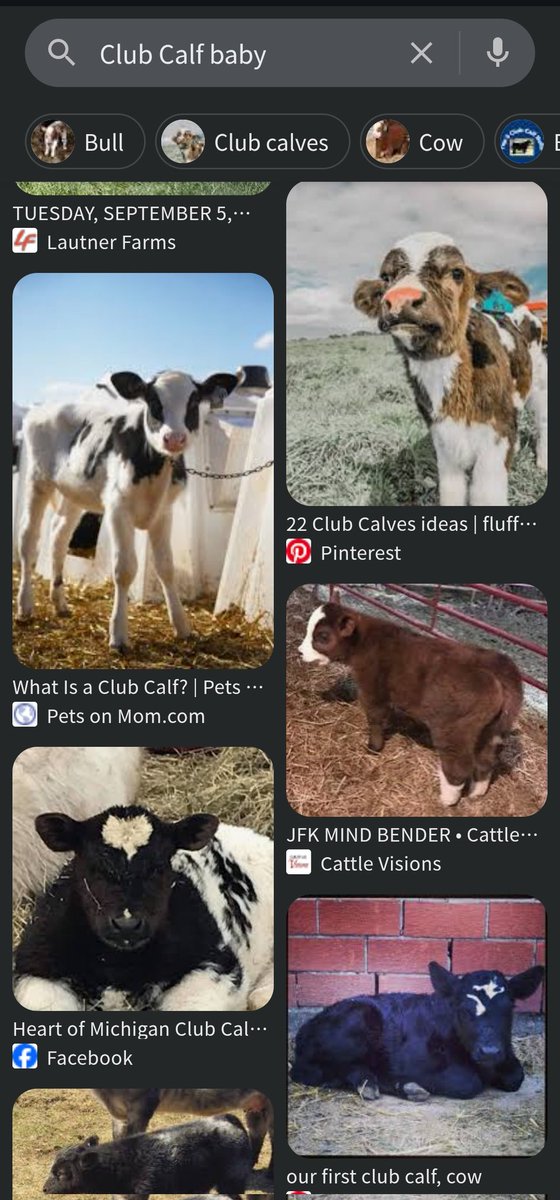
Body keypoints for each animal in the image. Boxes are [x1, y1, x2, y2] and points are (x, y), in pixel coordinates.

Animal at [14, 804, 273, 1012]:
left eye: (159, 867)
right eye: (93, 867)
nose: (127, 925)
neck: (118, 968)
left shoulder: (215, 967)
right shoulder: (36, 967)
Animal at [16, 369, 238, 650]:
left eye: (194, 400)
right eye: (153, 401)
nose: (174, 438)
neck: (155, 467)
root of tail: (46, 407)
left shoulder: (163, 513)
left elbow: (166, 568)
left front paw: (181, 625)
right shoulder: (117, 509)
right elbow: (124, 569)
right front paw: (119, 634)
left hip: (74, 493)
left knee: (59, 536)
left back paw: (59, 603)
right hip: (38, 481)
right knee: (28, 538)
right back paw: (25, 606)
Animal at [291, 961, 544, 1102]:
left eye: (508, 1008)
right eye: (463, 1010)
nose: (489, 1051)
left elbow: (516, 1076)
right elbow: (467, 1083)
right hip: (358, 1019)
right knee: (309, 1072)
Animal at [298, 601, 523, 807]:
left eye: (322, 636)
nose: (300, 651)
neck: (365, 641)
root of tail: (500, 669)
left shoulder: (373, 689)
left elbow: (376, 718)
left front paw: (374, 747)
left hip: (455, 729)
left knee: (459, 766)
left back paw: (446, 800)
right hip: (491, 729)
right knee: (486, 760)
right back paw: (477, 793)